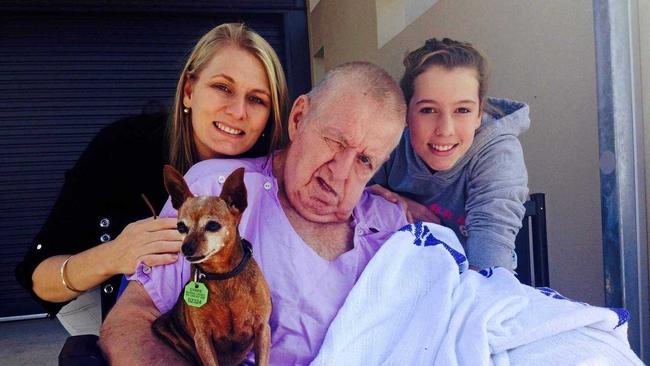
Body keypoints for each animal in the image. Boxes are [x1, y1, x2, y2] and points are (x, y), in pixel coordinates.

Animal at [152, 166, 270, 366]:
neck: (222, 275)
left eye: (213, 225)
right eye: (181, 227)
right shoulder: (202, 338)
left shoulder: (262, 329)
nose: (186, 248)